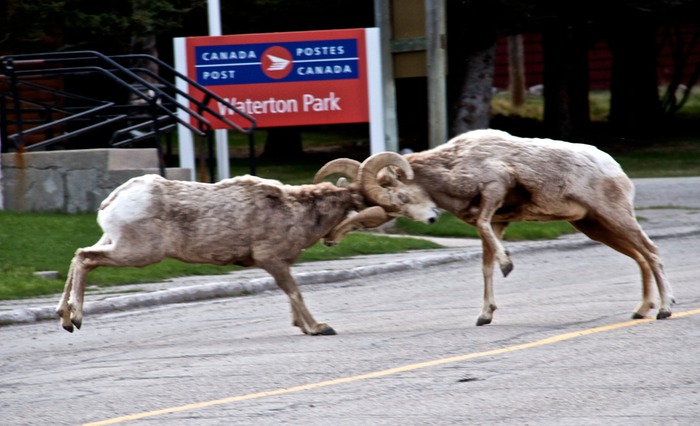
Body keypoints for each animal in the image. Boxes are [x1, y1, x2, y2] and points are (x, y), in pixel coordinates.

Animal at [56, 153, 438, 336]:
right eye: (401, 194)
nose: (434, 216)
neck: (300, 210)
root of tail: (115, 200)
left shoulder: (279, 265)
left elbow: (291, 296)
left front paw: (303, 327)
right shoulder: (272, 261)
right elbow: (295, 293)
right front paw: (318, 329)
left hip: (116, 243)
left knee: (78, 258)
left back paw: (64, 318)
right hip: (135, 253)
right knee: (85, 258)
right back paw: (75, 319)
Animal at [318, 130, 680, 326]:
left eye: (402, 195)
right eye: (393, 206)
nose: (432, 219)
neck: (454, 165)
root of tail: (614, 167)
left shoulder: (493, 194)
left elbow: (490, 248)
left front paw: (508, 265)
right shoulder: (498, 221)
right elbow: (485, 265)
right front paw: (485, 315)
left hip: (615, 217)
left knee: (651, 252)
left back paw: (664, 310)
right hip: (594, 226)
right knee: (639, 257)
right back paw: (641, 310)